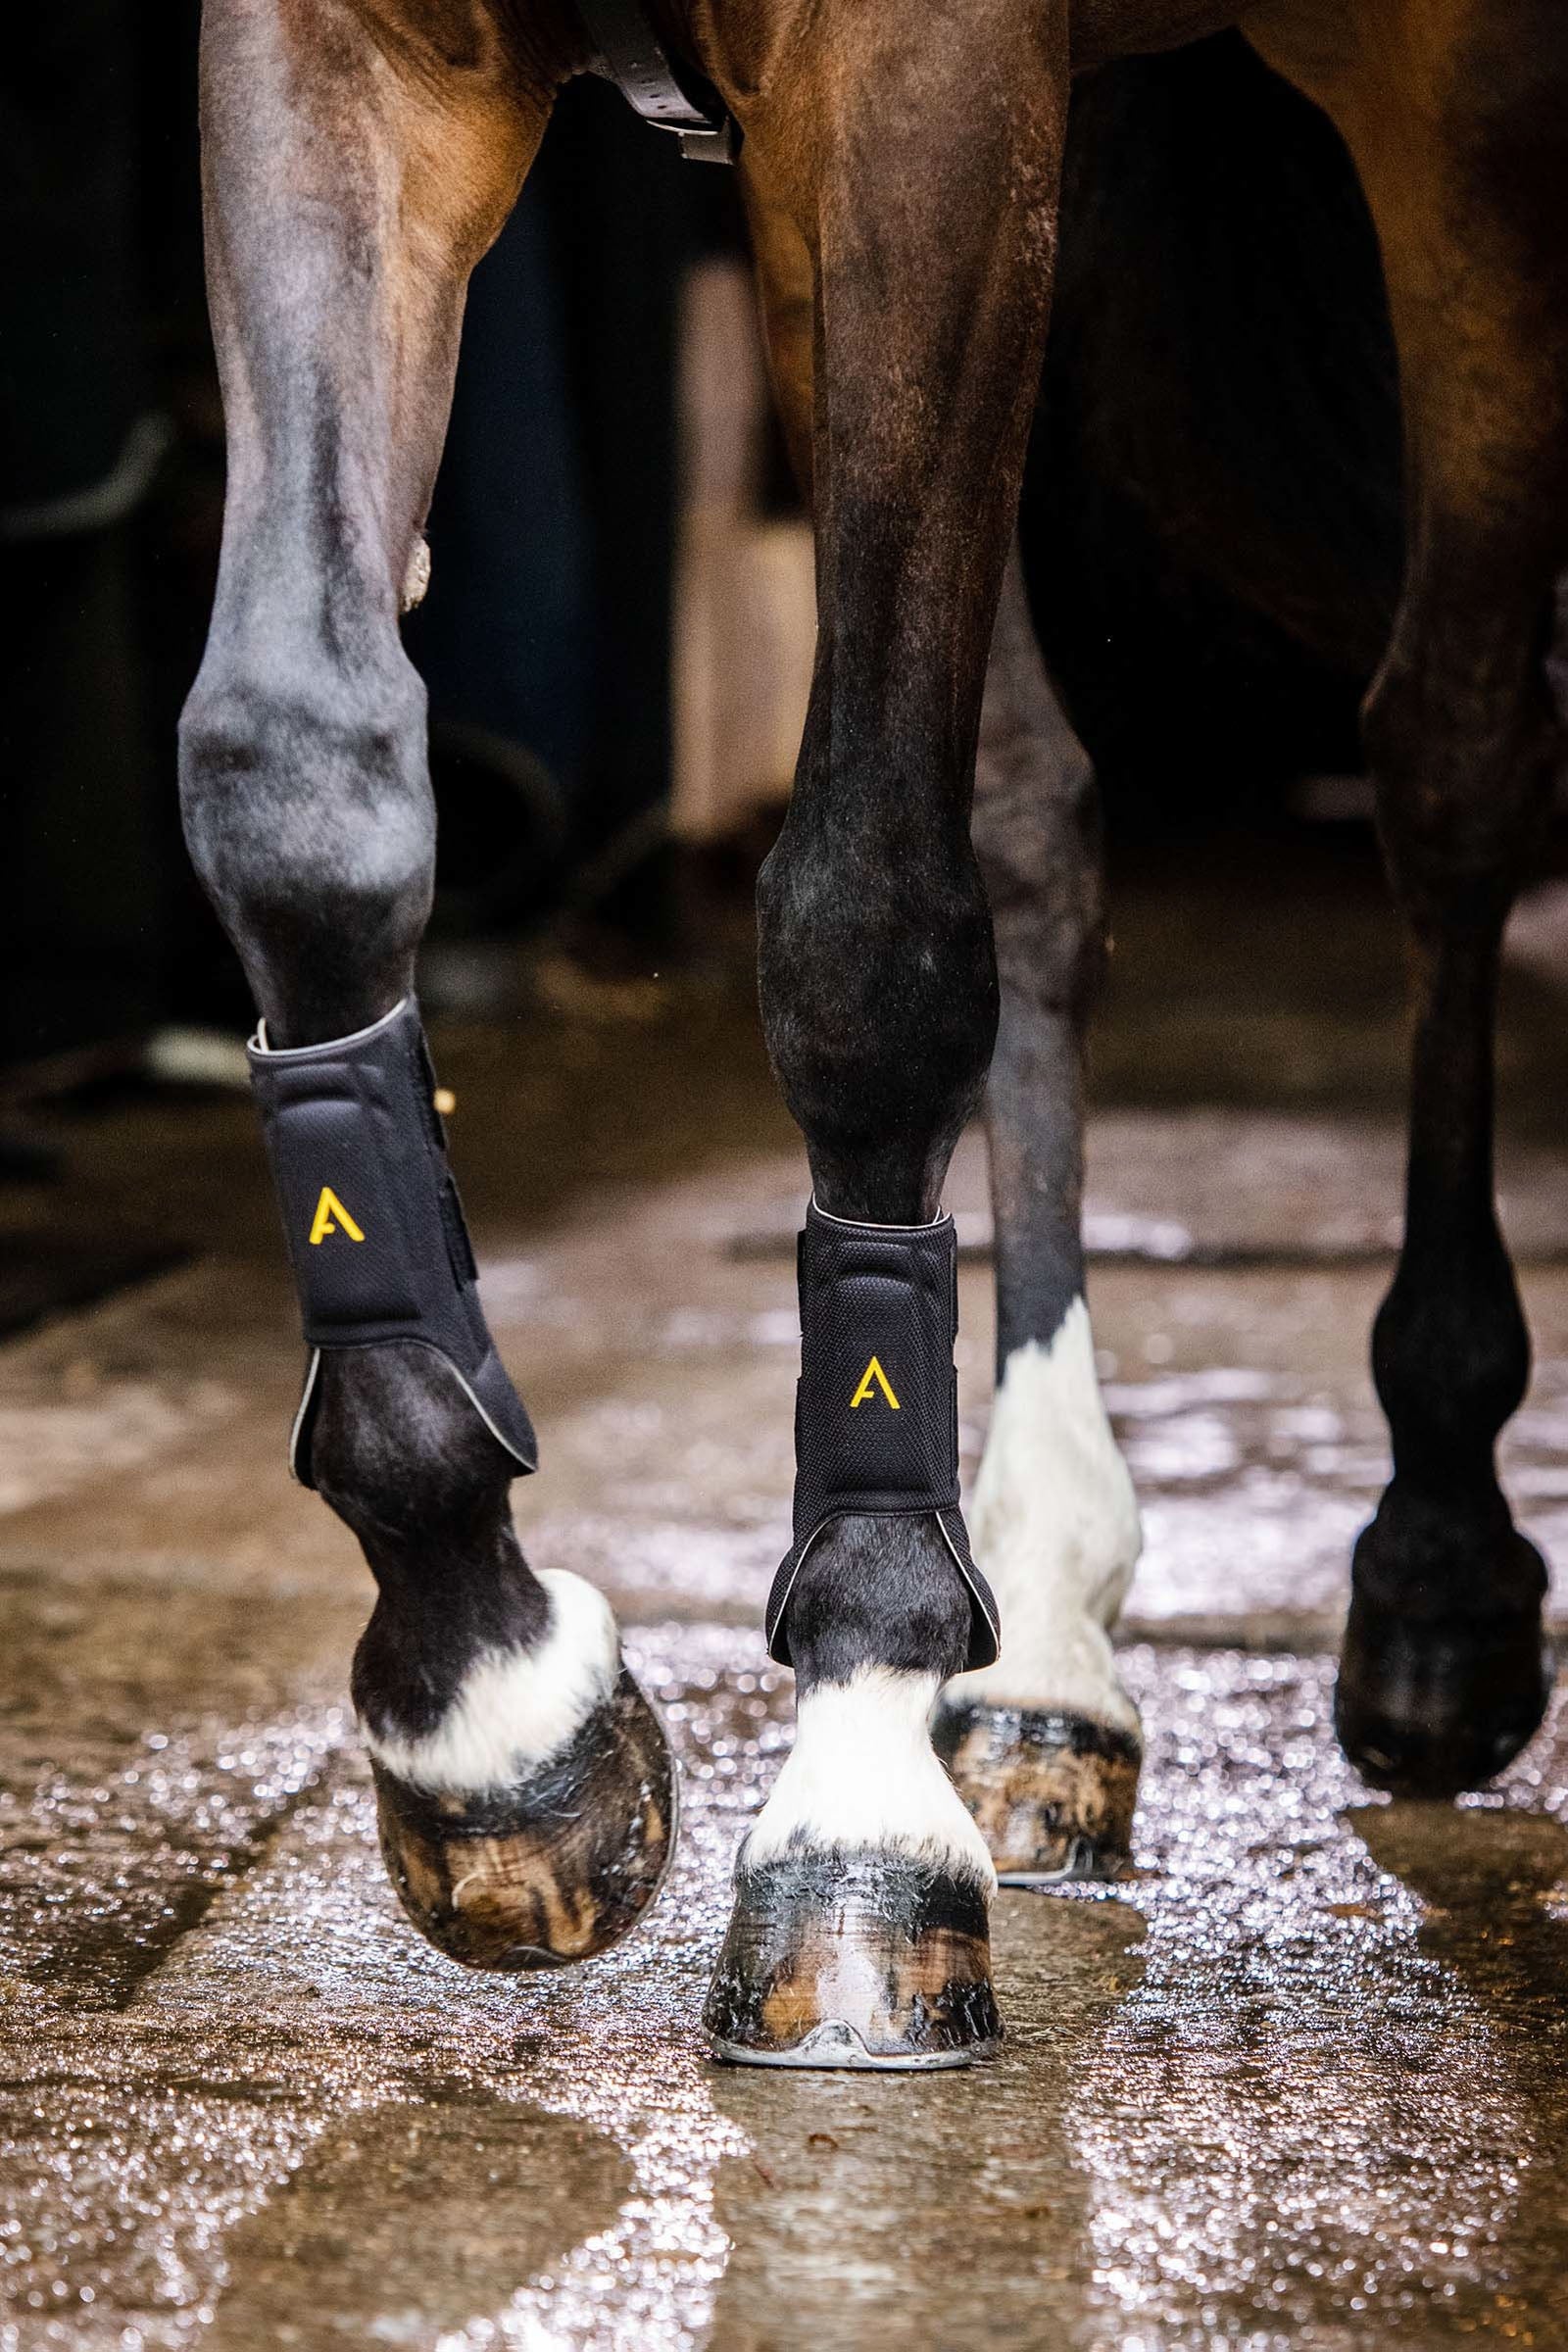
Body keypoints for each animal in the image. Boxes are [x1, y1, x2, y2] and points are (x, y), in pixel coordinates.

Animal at [180, 0, 1568, 2069]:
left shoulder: (928, 72)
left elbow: (869, 930)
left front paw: (856, 1792)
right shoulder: (347, 50)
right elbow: (292, 782)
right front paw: (497, 1725)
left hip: (1448, 110)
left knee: (1454, 756)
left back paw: (1440, 1567)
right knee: (1041, 815)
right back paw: (1049, 1643)